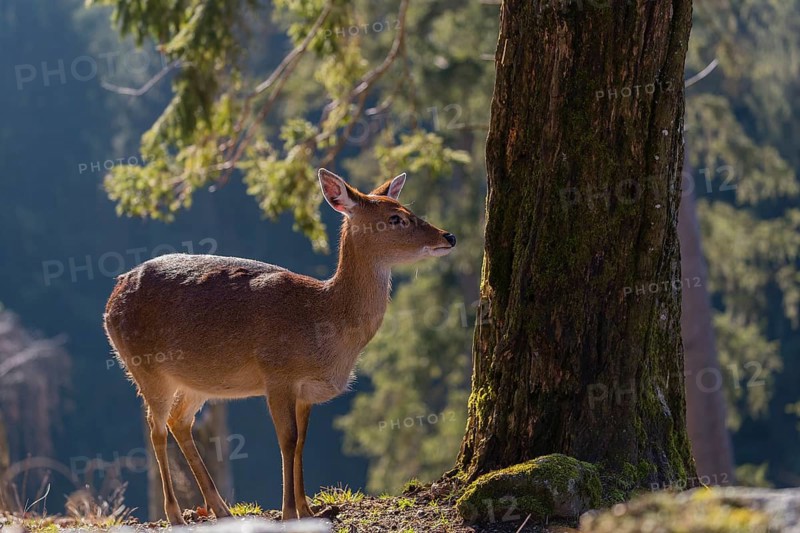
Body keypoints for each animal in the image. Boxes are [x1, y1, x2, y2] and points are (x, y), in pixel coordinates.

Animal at [103, 168, 457, 525]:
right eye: (396, 218)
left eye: (408, 209)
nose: (449, 236)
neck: (324, 321)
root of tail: (112, 296)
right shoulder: (277, 374)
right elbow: (287, 440)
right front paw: (288, 513)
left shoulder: (306, 390)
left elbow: (301, 443)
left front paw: (308, 509)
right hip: (145, 366)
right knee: (156, 428)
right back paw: (176, 515)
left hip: (195, 381)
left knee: (179, 421)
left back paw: (222, 509)